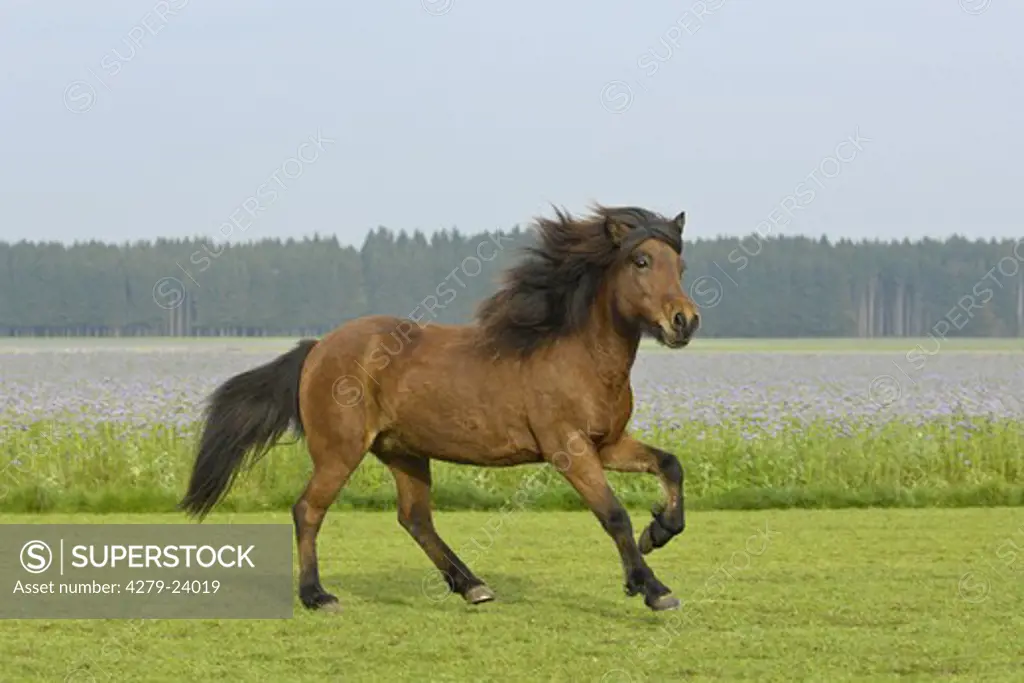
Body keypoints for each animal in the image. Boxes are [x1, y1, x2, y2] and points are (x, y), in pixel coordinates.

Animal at [180, 205, 700, 610]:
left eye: (681, 265)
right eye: (640, 260)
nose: (685, 321)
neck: (577, 356)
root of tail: (318, 349)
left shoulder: (606, 444)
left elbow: (670, 465)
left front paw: (660, 532)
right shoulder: (568, 448)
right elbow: (613, 514)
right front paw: (652, 588)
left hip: (403, 451)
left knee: (415, 518)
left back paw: (471, 586)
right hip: (340, 451)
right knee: (308, 509)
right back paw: (316, 595)